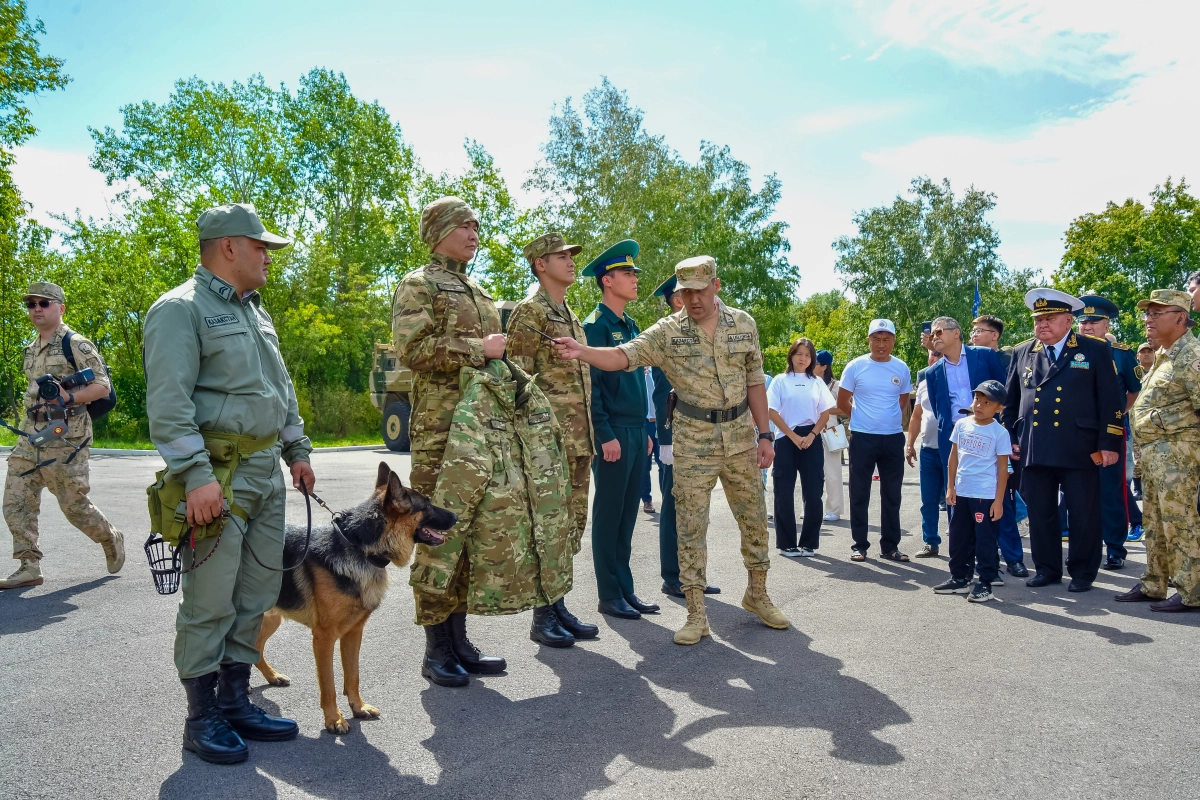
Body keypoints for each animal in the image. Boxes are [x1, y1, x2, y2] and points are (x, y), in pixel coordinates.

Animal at [255, 462, 456, 734]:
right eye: (426, 505)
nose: (457, 517)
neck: (362, 549)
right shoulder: (324, 638)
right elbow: (328, 683)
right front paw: (334, 719)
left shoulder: (353, 633)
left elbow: (353, 675)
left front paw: (358, 708)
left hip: (270, 619)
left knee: (254, 649)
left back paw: (272, 677)